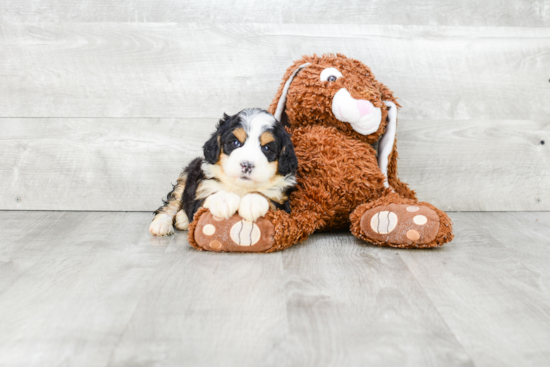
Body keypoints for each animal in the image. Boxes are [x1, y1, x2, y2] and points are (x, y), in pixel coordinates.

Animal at [149, 108, 300, 237]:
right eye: (235, 143)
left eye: (267, 148)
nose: (247, 165)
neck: (241, 187)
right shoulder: (202, 192)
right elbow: (210, 196)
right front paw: (223, 201)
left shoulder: (282, 204)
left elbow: (266, 197)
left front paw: (252, 202)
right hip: (187, 174)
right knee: (173, 201)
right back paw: (161, 224)